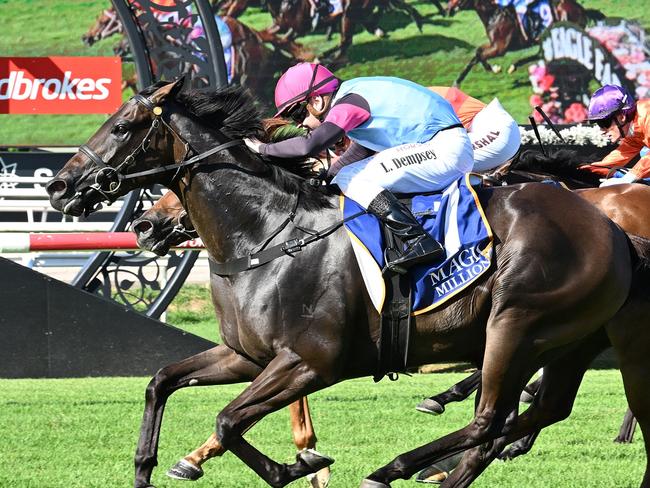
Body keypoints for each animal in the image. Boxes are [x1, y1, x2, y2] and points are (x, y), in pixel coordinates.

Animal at [44, 80, 644, 488]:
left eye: (122, 127)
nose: (59, 186)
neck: (265, 235)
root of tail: (614, 231)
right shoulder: (247, 355)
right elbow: (161, 382)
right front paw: (151, 465)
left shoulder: (311, 360)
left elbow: (230, 419)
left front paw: (299, 464)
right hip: (567, 341)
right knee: (528, 415)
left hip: (514, 325)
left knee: (491, 420)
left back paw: (397, 465)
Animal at [446, 0, 604, 86]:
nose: (448, 9)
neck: (494, 15)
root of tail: (581, 10)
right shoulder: (493, 44)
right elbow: (477, 53)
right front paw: (456, 83)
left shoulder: (500, 48)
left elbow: (480, 55)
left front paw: (495, 69)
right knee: (541, 54)